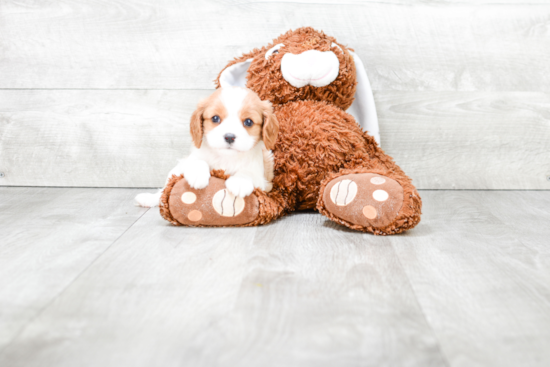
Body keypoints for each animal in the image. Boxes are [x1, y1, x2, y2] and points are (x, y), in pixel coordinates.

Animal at [134, 85, 280, 207]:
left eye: (248, 122)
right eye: (215, 118)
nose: (229, 136)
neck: (226, 157)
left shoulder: (263, 180)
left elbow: (248, 173)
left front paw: (240, 181)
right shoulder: (190, 159)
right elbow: (197, 161)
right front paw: (197, 174)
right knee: (164, 190)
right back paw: (148, 199)